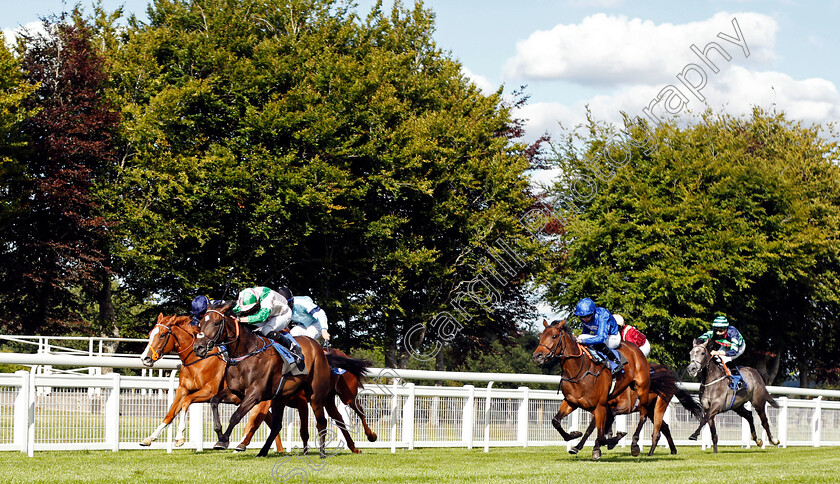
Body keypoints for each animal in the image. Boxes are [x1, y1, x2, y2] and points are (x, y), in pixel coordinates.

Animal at [195, 300, 340, 456]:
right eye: (201, 323)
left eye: (216, 323)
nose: (198, 348)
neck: (246, 353)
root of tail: (318, 347)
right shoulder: (235, 393)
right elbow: (214, 401)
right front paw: (220, 434)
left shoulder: (254, 394)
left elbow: (235, 416)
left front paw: (223, 440)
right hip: (279, 398)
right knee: (277, 426)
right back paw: (262, 451)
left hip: (315, 395)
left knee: (322, 421)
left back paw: (322, 453)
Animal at [536, 320, 652, 460]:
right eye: (540, 336)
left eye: (554, 336)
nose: (537, 356)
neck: (579, 371)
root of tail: (635, 349)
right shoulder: (571, 402)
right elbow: (556, 421)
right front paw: (574, 435)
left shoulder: (600, 406)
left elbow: (600, 436)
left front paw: (610, 441)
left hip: (642, 389)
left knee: (643, 415)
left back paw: (634, 445)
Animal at [564, 364, 704, 456]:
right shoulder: (602, 408)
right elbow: (591, 428)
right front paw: (577, 447)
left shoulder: (625, 406)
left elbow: (598, 425)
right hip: (651, 409)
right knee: (664, 427)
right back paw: (673, 450)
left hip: (660, 404)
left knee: (657, 430)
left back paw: (651, 453)